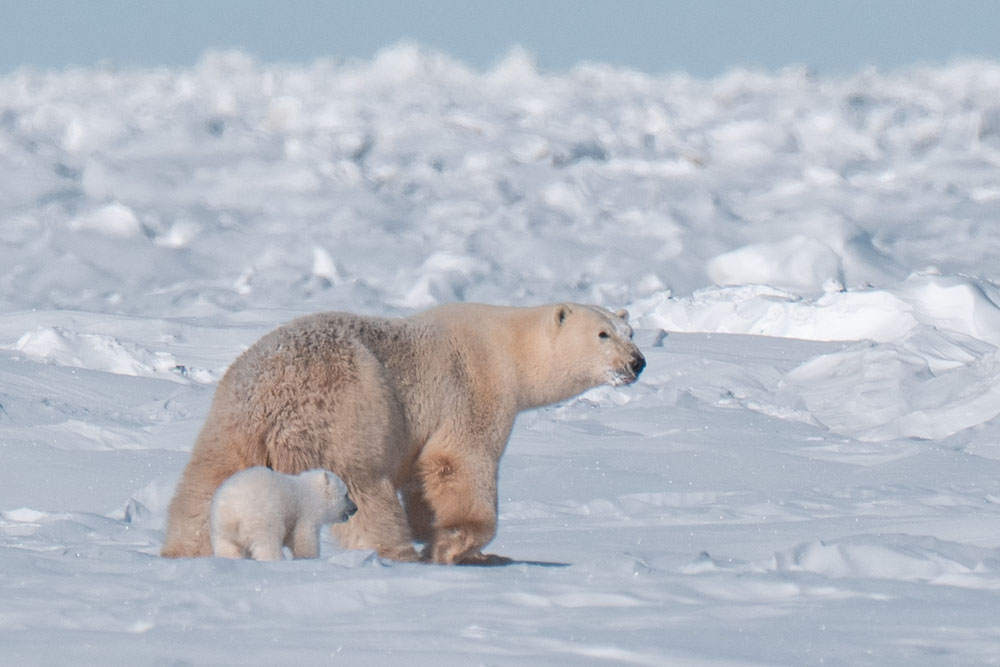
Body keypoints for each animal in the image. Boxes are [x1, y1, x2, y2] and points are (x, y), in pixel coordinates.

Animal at [209, 468, 358, 560]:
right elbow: (305, 538)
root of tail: (231, 512)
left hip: (221, 531)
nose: (355, 508)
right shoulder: (306, 513)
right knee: (268, 543)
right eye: (346, 494)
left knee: (227, 548)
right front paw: (308, 557)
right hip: (263, 518)